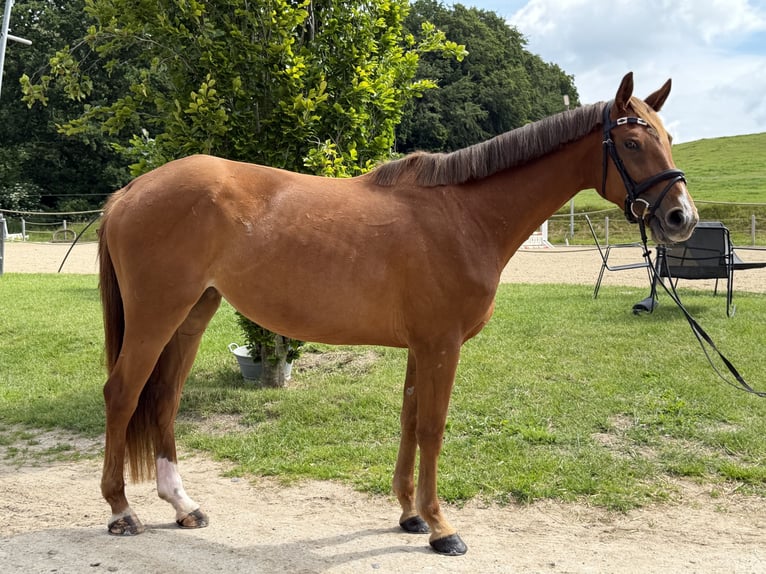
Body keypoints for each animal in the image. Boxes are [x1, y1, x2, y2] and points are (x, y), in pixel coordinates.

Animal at [97, 72, 698, 555]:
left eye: (668, 139)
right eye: (632, 141)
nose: (681, 218)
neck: (464, 215)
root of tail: (129, 191)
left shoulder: (420, 347)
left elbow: (409, 421)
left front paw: (410, 515)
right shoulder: (441, 345)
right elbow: (432, 426)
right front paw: (441, 527)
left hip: (192, 313)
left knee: (164, 397)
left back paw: (182, 505)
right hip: (157, 315)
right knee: (124, 394)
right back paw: (121, 510)